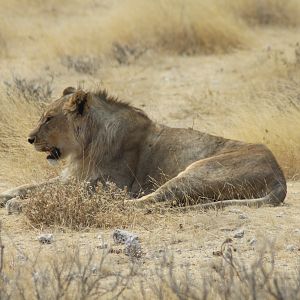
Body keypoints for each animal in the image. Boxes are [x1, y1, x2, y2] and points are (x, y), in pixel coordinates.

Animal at [0, 86, 286, 211]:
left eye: (48, 118)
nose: (29, 139)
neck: (86, 146)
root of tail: (279, 176)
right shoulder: (72, 178)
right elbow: (30, 186)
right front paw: (8, 195)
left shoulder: (104, 185)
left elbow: (51, 194)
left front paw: (18, 204)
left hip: (198, 171)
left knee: (149, 200)